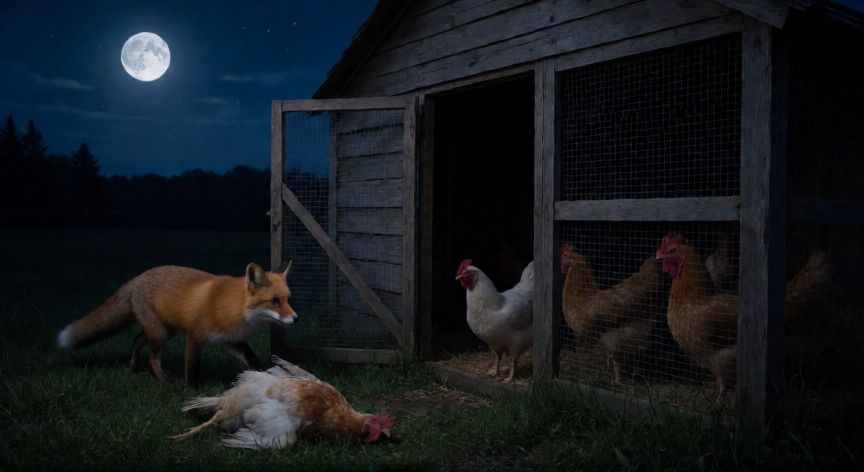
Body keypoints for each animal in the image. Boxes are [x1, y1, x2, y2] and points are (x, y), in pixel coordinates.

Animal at [56, 261, 298, 386]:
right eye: (274, 301)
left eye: (288, 299)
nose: (296, 319)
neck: (236, 307)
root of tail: (137, 278)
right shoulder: (195, 335)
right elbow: (192, 368)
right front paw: (190, 392)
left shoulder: (229, 339)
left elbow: (252, 359)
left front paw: (263, 377)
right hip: (160, 334)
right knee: (152, 358)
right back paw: (164, 382)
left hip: (164, 331)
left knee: (136, 339)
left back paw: (134, 368)